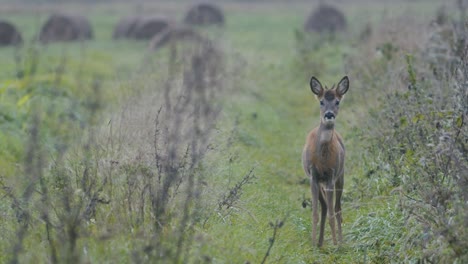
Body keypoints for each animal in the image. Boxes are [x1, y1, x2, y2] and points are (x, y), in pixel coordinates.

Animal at [304, 76, 348, 248]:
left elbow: (331, 212)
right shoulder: (313, 176)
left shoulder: (331, 175)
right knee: (324, 206)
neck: (322, 159)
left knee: (337, 208)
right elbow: (315, 213)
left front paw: (335, 244)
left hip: (341, 176)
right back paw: (320, 242)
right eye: (321, 101)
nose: (329, 115)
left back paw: (340, 241)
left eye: (337, 101)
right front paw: (312, 243)